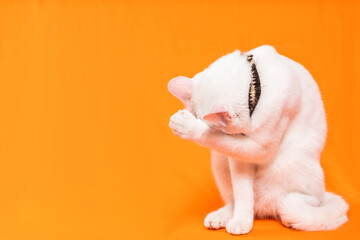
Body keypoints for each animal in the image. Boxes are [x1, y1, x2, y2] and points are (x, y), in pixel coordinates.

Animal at [168, 45, 348, 234]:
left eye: (210, 127)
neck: (255, 86)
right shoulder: (237, 159)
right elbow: (242, 193)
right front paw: (241, 220)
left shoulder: (259, 148)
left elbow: (218, 141)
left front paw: (187, 126)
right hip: (219, 161)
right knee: (237, 200)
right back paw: (222, 216)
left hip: (291, 169)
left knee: (303, 203)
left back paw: (288, 219)